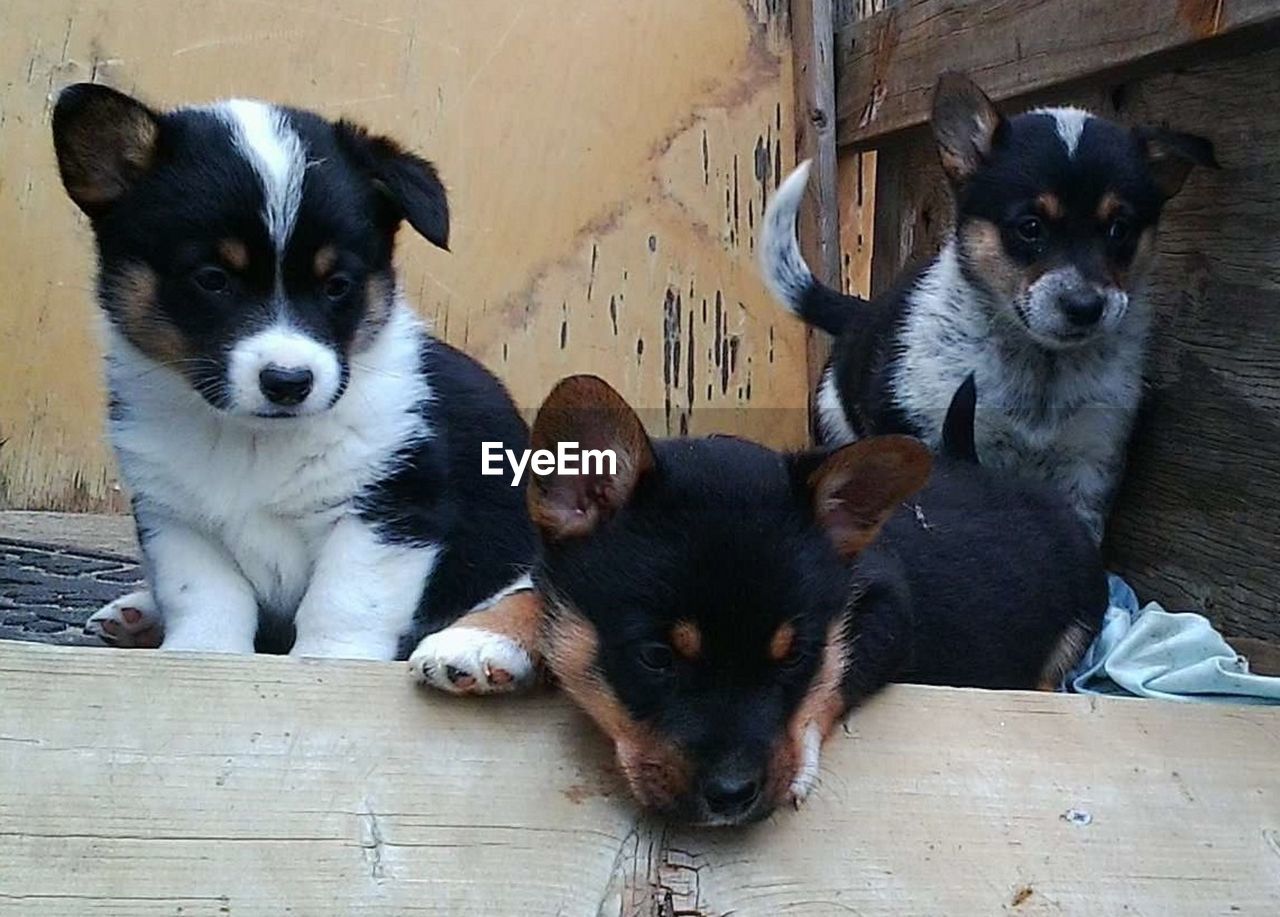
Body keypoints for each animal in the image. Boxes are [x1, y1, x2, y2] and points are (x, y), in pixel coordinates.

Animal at [49, 85, 537, 686]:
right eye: (212, 279)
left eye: (337, 285)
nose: (288, 383)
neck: (254, 440)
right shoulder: (176, 516)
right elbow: (206, 597)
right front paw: (202, 656)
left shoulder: (390, 506)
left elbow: (343, 600)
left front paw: (329, 665)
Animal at [524, 376, 1105, 829]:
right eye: (655, 657)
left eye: (796, 658)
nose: (733, 796)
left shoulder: (889, 613)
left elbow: (835, 676)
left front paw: (799, 759)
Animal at [762, 73, 1213, 545]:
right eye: (1030, 227)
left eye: (1119, 229)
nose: (1085, 307)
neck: (1042, 368)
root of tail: (862, 314)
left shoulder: (1089, 460)